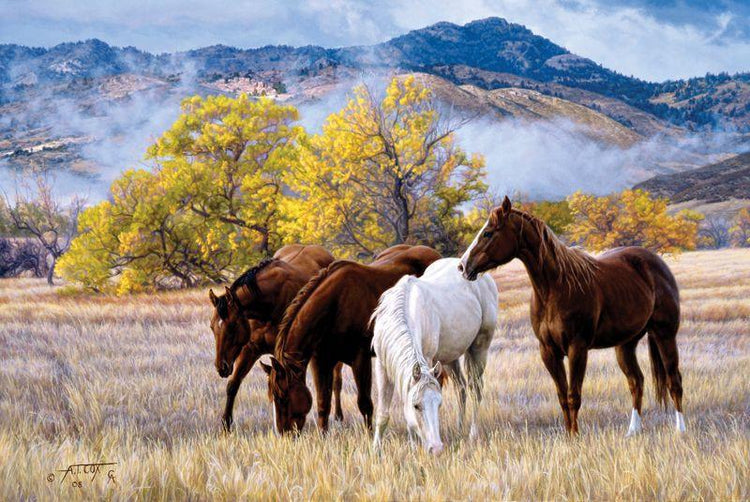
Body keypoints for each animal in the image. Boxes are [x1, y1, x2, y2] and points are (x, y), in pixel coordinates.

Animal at [208, 244, 342, 431]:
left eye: (232, 326)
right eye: (212, 327)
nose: (221, 367)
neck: (269, 303)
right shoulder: (250, 350)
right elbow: (233, 385)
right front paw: (226, 425)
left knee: (336, 380)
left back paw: (338, 415)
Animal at [261, 245, 442, 435]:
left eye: (282, 396)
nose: (284, 433)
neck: (336, 305)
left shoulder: (360, 359)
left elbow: (365, 403)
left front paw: (369, 436)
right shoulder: (321, 362)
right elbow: (323, 403)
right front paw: (323, 436)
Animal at [371, 258, 498, 455]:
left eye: (439, 404)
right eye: (416, 405)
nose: (436, 449)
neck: (406, 309)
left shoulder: (428, 359)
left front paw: (414, 448)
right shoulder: (382, 367)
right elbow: (383, 413)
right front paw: (376, 452)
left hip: (479, 348)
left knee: (475, 390)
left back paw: (472, 434)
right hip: (449, 358)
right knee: (461, 388)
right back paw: (459, 430)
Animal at [458, 196, 684, 436]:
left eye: (488, 233)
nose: (463, 266)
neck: (556, 288)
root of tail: (656, 263)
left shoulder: (577, 349)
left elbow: (573, 396)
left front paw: (575, 436)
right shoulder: (548, 352)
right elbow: (562, 396)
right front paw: (569, 436)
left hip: (665, 335)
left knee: (674, 381)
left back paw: (681, 430)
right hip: (625, 344)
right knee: (636, 382)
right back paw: (633, 431)